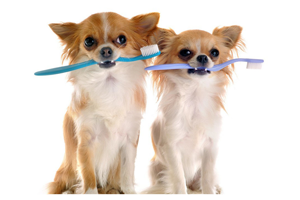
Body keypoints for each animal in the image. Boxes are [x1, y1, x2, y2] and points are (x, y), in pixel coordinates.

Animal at [46, 11, 159, 196]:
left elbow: (127, 172)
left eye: (122, 39)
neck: (108, 84)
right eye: (89, 41)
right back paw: (69, 192)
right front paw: (90, 195)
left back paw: (113, 190)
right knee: (64, 183)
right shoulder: (86, 142)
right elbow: (88, 174)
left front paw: (130, 193)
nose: (106, 49)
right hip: (67, 171)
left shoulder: (129, 141)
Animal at [144, 25, 245, 196]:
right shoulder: (172, 148)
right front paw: (181, 195)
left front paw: (210, 194)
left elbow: (207, 178)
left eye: (215, 52)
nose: (203, 57)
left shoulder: (210, 147)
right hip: (154, 167)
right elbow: (178, 178)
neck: (194, 96)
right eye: (185, 52)